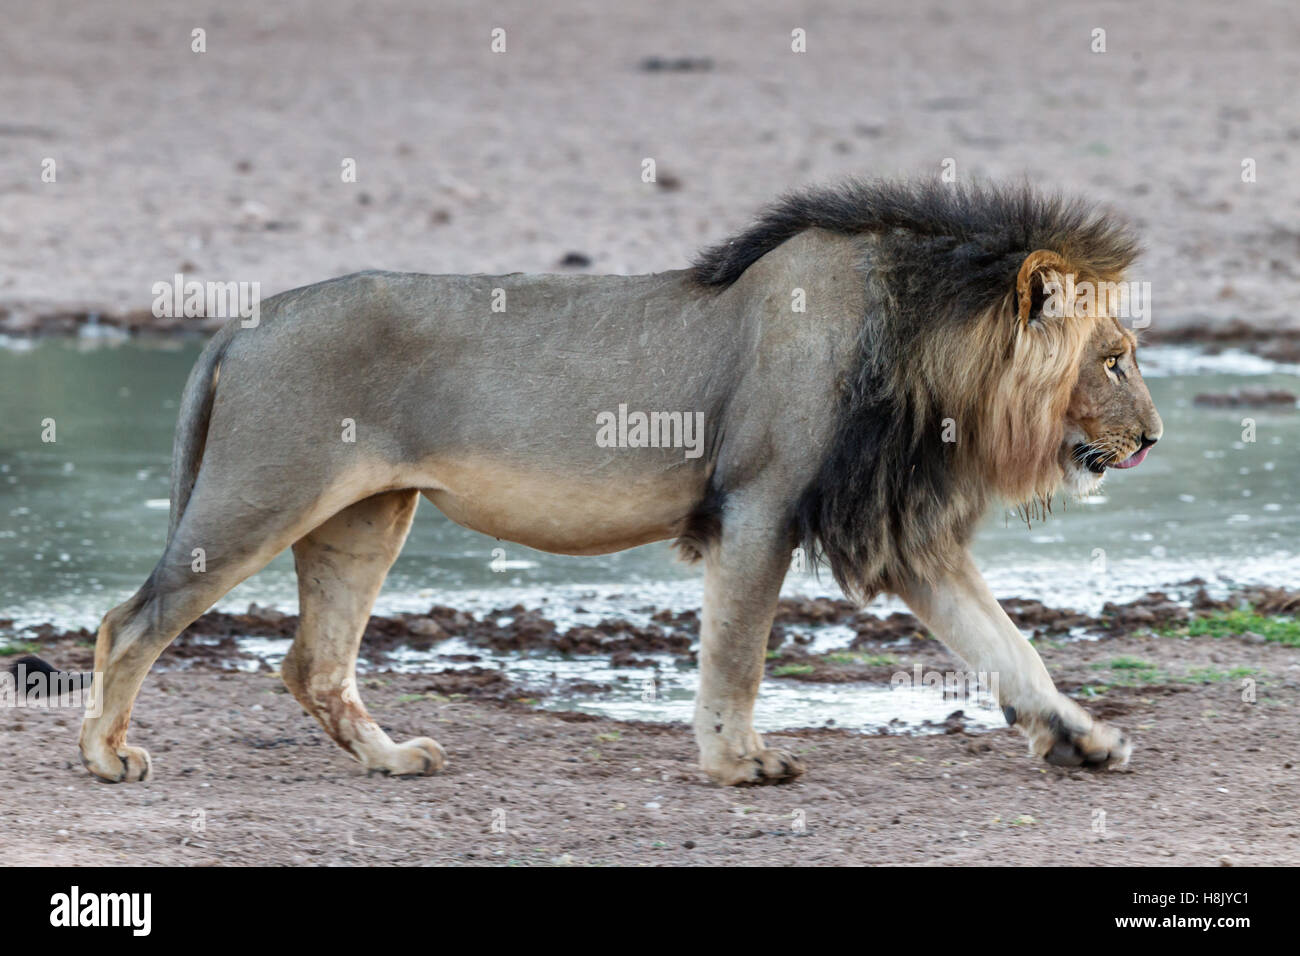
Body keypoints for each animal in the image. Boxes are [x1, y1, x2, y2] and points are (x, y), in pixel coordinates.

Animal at [22, 178, 1162, 785]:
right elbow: (737, 656)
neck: (923, 350)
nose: (1152, 438)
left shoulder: (904, 534)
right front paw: (738, 764)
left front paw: (1084, 737)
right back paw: (107, 758)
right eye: (1114, 359)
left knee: (313, 662)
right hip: (259, 496)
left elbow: (1007, 644)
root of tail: (245, 320)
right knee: (130, 621)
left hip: (364, 518)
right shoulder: (758, 506)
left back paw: (391, 759)